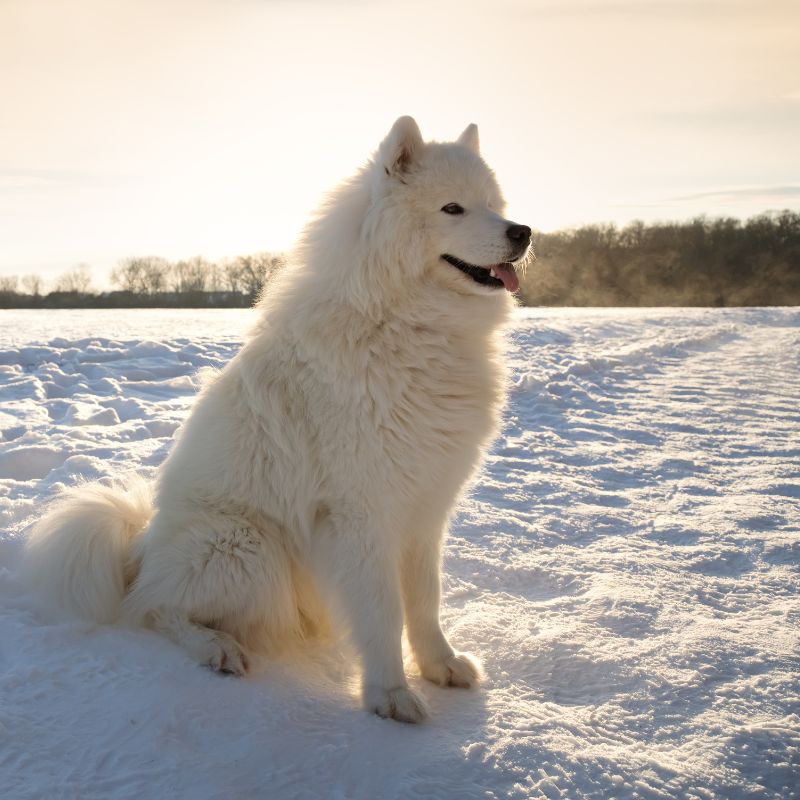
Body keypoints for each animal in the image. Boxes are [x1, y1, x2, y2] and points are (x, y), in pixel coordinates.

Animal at [23, 119, 532, 724]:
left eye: (494, 205)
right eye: (453, 208)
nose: (524, 232)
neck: (408, 325)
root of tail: (138, 548)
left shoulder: (425, 507)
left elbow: (425, 601)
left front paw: (440, 665)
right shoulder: (360, 512)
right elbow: (382, 611)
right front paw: (389, 695)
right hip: (248, 547)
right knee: (153, 609)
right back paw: (216, 647)